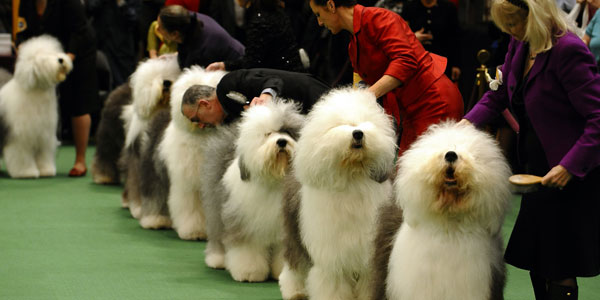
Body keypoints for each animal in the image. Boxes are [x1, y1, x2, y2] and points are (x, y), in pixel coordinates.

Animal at [0, 35, 72, 178]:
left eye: (54, 52)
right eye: (44, 58)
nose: (61, 59)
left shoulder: (44, 135)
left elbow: (43, 155)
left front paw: (46, 171)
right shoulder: (20, 138)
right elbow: (21, 156)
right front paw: (26, 172)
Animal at [220, 100, 302, 282]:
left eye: (287, 132)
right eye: (268, 133)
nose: (281, 142)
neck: (273, 181)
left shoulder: (283, 229)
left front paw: (280, 273)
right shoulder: (245, 224)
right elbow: (247, 249)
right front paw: (249, 272)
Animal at [280, 88, 398, 300]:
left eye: (365, 122)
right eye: (339, 125)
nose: (358, 133)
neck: (351, 176)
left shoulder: (366, 255)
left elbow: (367, 282)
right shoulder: (331, 256)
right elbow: (332, 284)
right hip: (294, 230)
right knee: (294, 263)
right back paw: (295, 291)